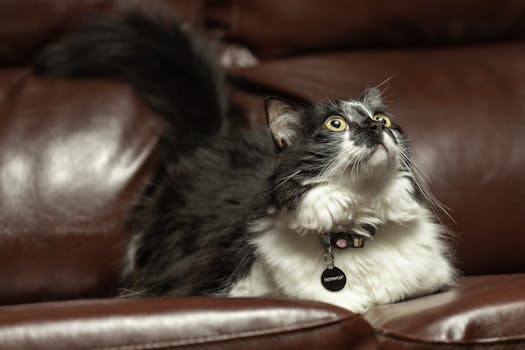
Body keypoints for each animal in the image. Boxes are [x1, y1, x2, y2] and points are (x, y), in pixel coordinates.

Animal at [35, 10, 454, 314]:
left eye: (382, 119)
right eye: (335, 124)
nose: (375, 127)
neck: (354, 231)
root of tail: (213, 138)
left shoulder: (429, 284)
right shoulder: (220, 286)